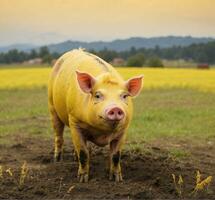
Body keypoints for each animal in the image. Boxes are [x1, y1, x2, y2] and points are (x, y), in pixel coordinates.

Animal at [47, 49, 144, 182]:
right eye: (98, 95)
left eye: (124, 96)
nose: (115, 108)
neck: (102, 133)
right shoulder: (74, 121)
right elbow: (83, 153)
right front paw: (83, 180)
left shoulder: (124, 130)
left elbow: (116, 155)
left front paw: (116, 179)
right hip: (52, 107)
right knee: (59, 136)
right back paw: (57, 160)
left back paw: (74, 158)